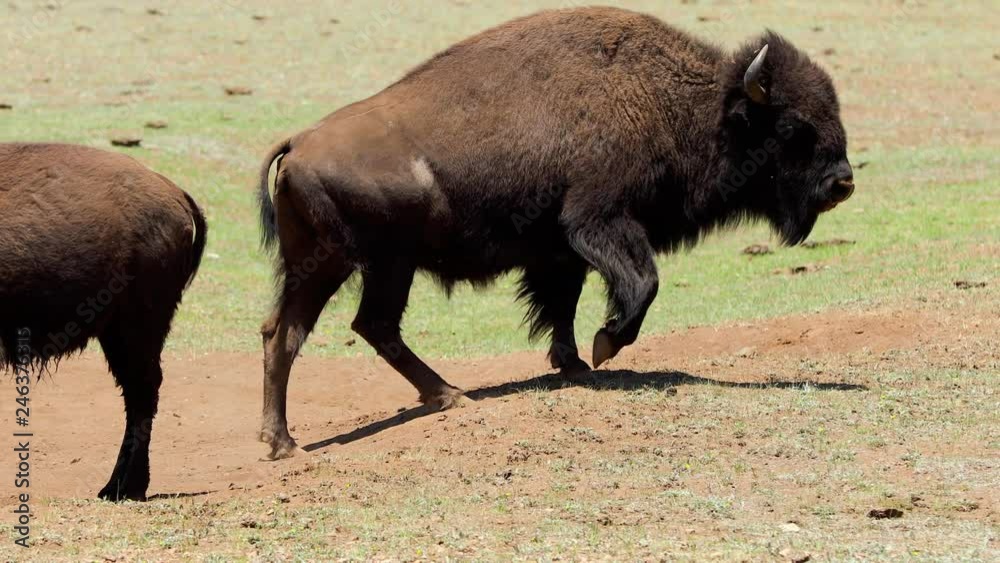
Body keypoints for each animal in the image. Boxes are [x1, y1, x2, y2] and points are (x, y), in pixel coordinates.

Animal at [256, 7, 854, 459]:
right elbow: (641, 284)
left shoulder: (560, 255)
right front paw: (605, 346)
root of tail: (298, 143)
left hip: (344, 266)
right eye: (793, 127)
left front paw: (574, 364)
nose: (843, 182)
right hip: (363, 265)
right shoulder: (599, 223)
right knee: (333, 330)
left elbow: (561, 307)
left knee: (301, 331)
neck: (677, 102)